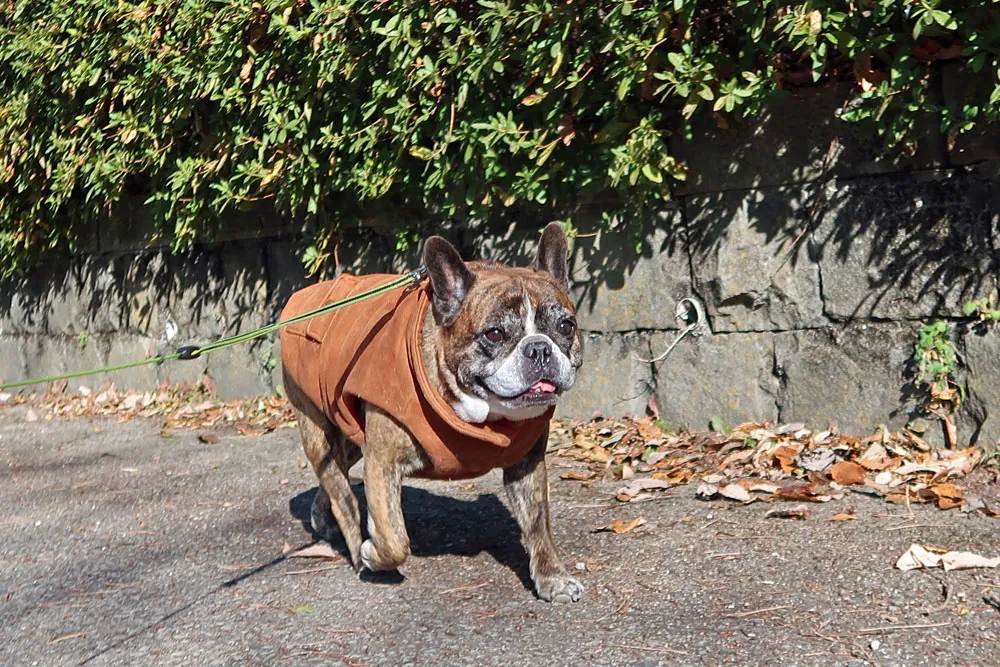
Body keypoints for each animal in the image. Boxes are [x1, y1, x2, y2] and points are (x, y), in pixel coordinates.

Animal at [278, 222, 584, 604]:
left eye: (566, 326)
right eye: (495, 334)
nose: (540, 348)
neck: (482, 414)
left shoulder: (526, 466)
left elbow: (539, 524)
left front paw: (552, 577)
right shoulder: (383, 462)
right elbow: (394, 538)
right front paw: (374, 553)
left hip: (351, 437)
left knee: (335, 473)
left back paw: (323, 514)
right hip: (317, 430)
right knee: (341, 493)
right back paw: (358, 553)